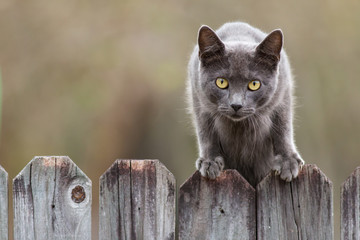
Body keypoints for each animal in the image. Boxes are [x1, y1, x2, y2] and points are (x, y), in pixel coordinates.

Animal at [187, 22, 306, 187]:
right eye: (221, 82)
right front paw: (209, 161)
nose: (236, 105)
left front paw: (287, 161)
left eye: (254, 84)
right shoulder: (199, 100)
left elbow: (283, 127)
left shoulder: (282, 95)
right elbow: (206, 131)